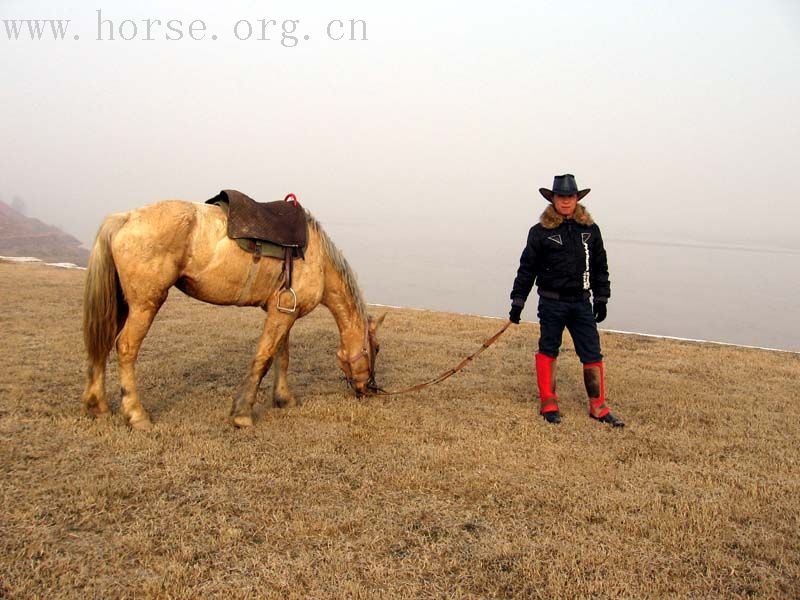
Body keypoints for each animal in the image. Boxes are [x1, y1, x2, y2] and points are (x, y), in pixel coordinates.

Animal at [81, 199, 384, 428]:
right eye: (377, 348)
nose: (370, 389)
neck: (318, 259)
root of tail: (126, 218)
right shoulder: (282, 315)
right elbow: (263, 358)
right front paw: (242, 413)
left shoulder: (283, 311)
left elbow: (281, 357)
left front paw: (283, 399)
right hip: (146, 304)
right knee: (125, 347)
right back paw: (136, 414)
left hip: (121, 304)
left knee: (103, 344)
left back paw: (97, 406)